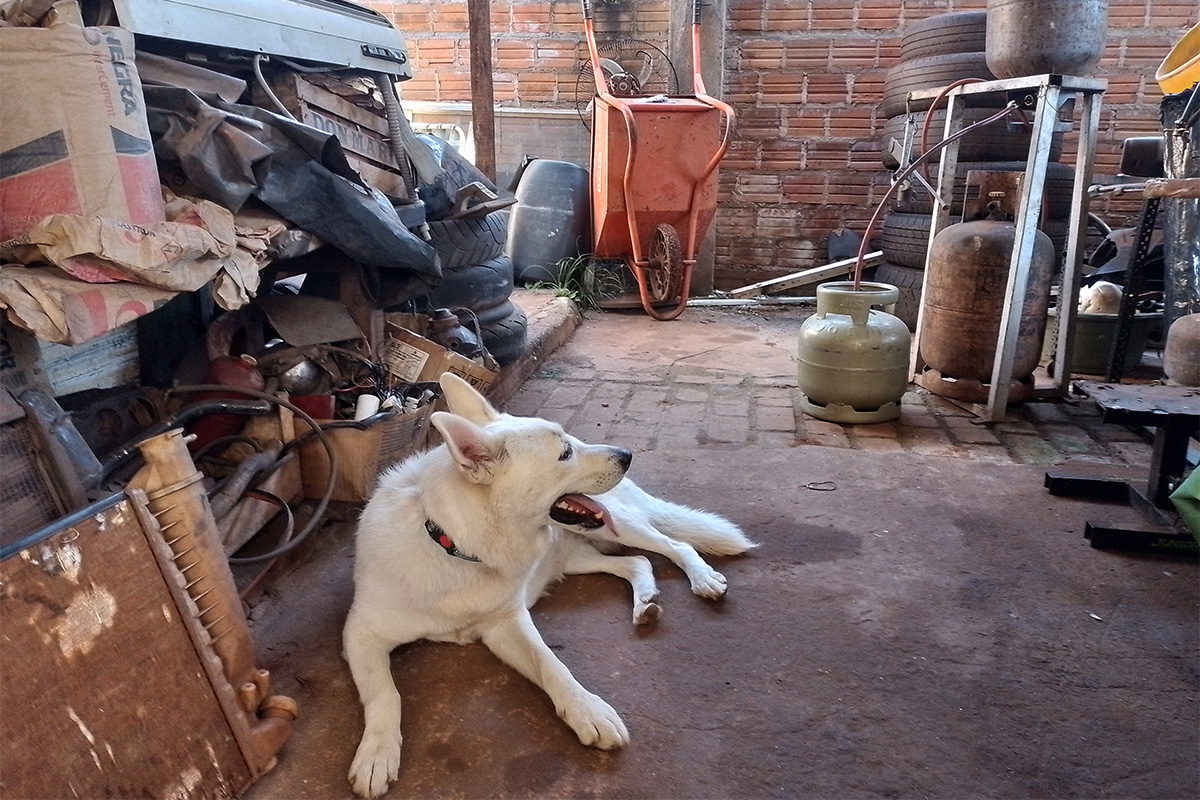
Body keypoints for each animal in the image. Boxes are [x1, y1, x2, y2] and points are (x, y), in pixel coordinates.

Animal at [343, 374, 748, 796]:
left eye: (570, 440)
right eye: (565, 453)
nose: (627, 454)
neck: (454, 545)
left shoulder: (507, 624)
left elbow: (552, 665)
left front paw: (588, 710)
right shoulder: (361, 633)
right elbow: (386, 693)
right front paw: (377, 753)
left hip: (617, 524)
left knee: (674, 545)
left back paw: (702, 577)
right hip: (576, 557)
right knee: (636, 561)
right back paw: (646, 601)